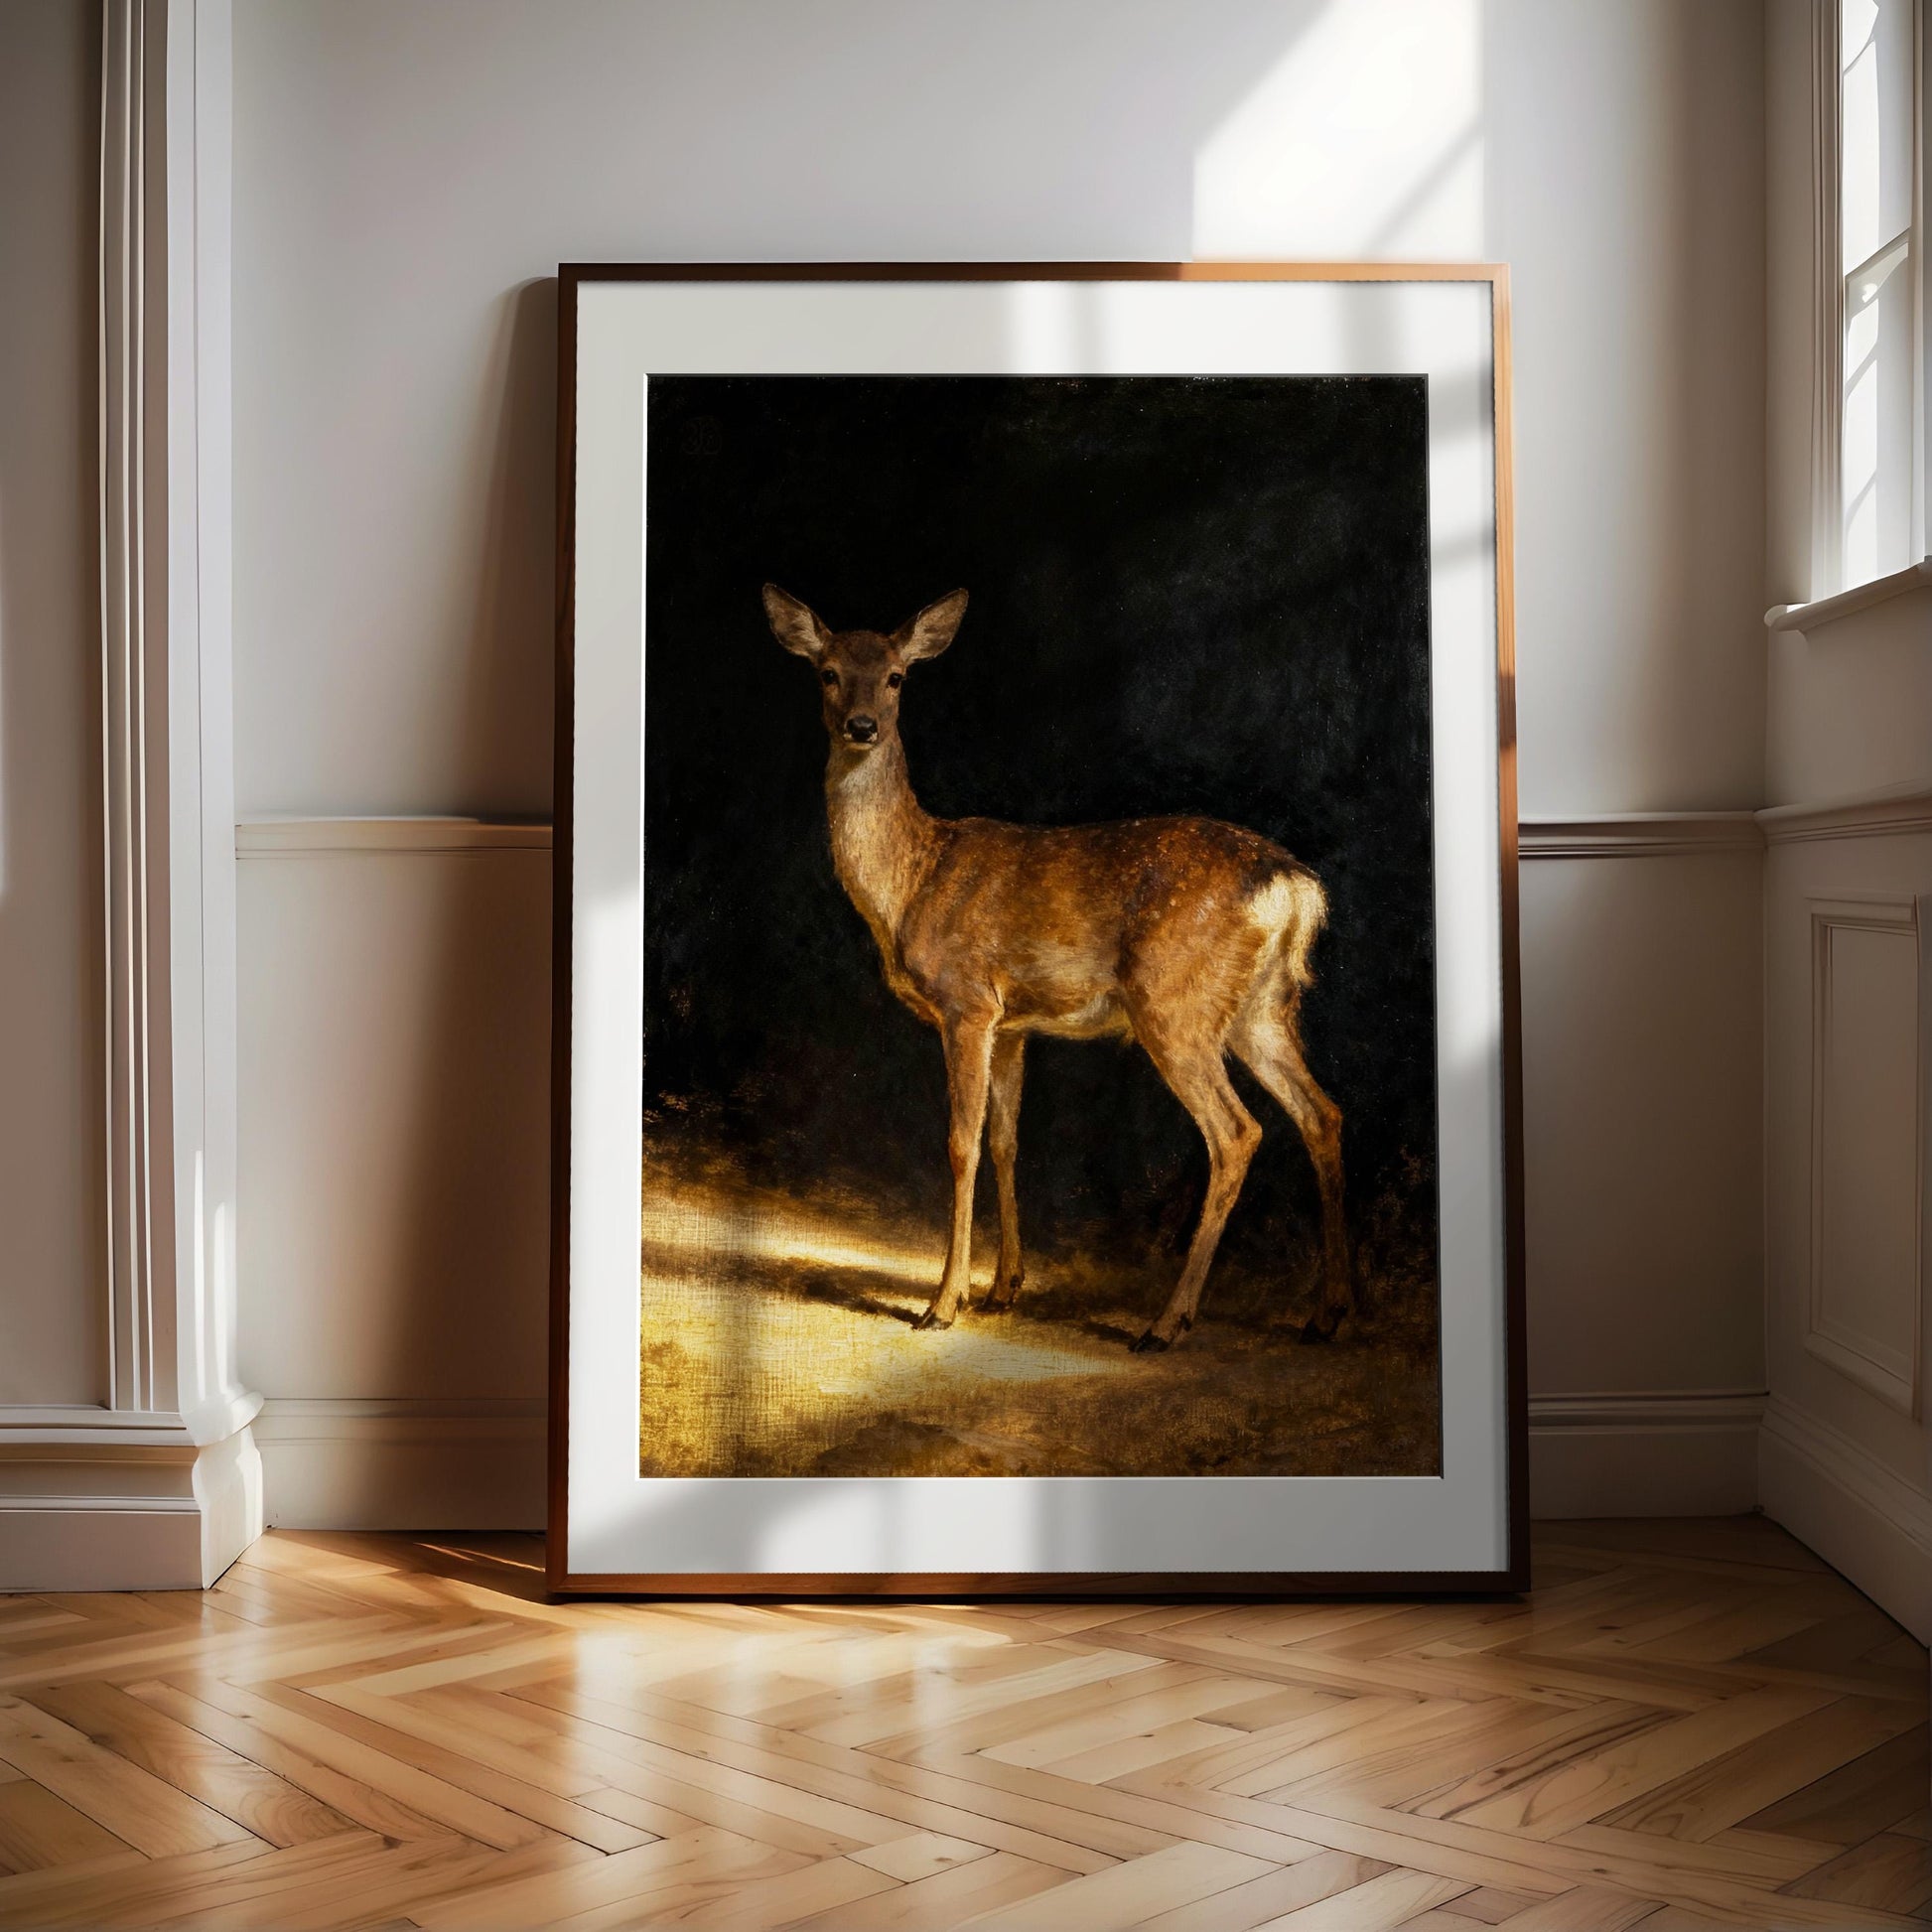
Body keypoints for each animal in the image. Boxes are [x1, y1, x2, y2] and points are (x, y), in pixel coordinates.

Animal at [763, 583, 1353, 1352]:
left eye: (896, 677)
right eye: (827, 672)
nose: (862, 726)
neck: (912, 880)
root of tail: (1295, 888)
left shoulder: (967, 1003)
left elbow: (960, 1143)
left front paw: (942, 1302)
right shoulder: (1014, 1024)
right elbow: (1007, 1141)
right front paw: (1003, 1287)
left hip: (1176, 1002)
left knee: (1236, 1132)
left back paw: (1167, 1322)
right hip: (1261, 1007)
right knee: (1323, 1113)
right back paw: (1327, 1313)